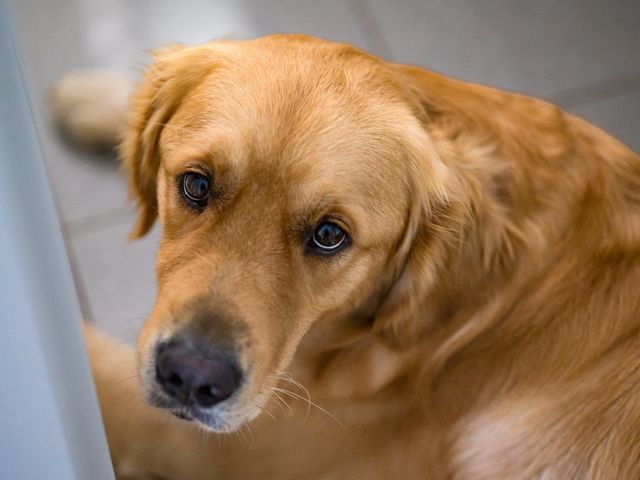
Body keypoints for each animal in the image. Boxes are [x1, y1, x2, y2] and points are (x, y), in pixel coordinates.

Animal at [56, 34, 640, 480]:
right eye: (196, 184)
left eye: (330, 236)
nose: (191, 378)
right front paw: (96, 96)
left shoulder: (203, 446)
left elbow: (89, 361)